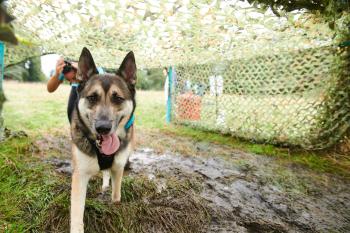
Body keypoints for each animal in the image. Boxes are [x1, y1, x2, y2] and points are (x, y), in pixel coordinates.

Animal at [69, 47, 137, 233]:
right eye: (92, 97)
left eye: (118, 98)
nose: (103, 128)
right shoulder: (80, 176)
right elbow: (77, 214)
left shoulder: (118, 168)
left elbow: (116, 195)